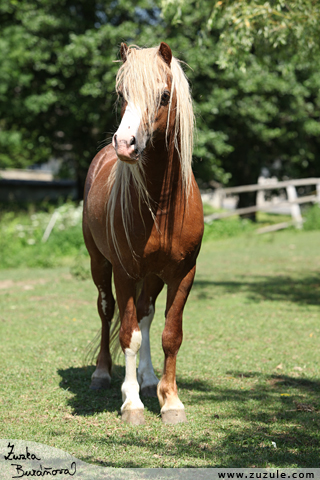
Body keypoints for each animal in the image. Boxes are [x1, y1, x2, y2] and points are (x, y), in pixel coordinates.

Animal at [82, 41, 202, 424]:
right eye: (122, 94)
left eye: (163, 96)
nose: (125, 144)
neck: (161, 207)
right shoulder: (124, 272)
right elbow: (129, 335)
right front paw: (131, 403)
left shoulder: (183, 273)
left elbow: (170, 335)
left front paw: (170, 400)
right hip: (100, 265)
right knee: (106, 311)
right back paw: (103, 374)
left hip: (153, 276)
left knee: (147, 314)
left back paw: (149, 381)